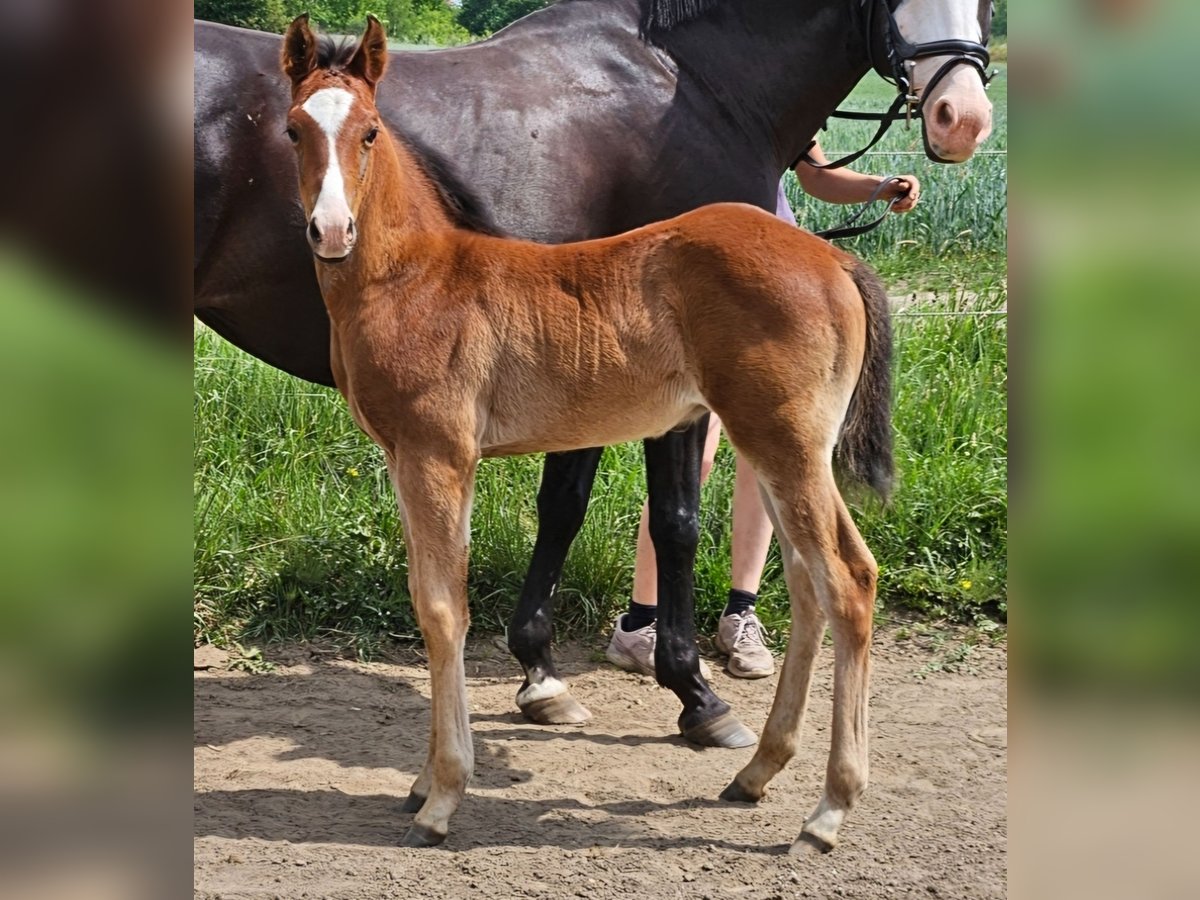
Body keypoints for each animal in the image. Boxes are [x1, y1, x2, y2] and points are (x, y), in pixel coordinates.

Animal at [285, 17, 897, 854]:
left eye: (371, 130)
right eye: (292, 129)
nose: (331, 229)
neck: (414, 277)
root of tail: (834, 256)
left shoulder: (439, 456)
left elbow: (443, 611)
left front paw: (443, 795)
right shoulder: (406, 458)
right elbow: (428, 599)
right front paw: (420, 782)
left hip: (786, 442)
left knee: (848, 580)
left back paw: (829, 809)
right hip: (775, 446)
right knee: (809, 584)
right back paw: (757, 773)